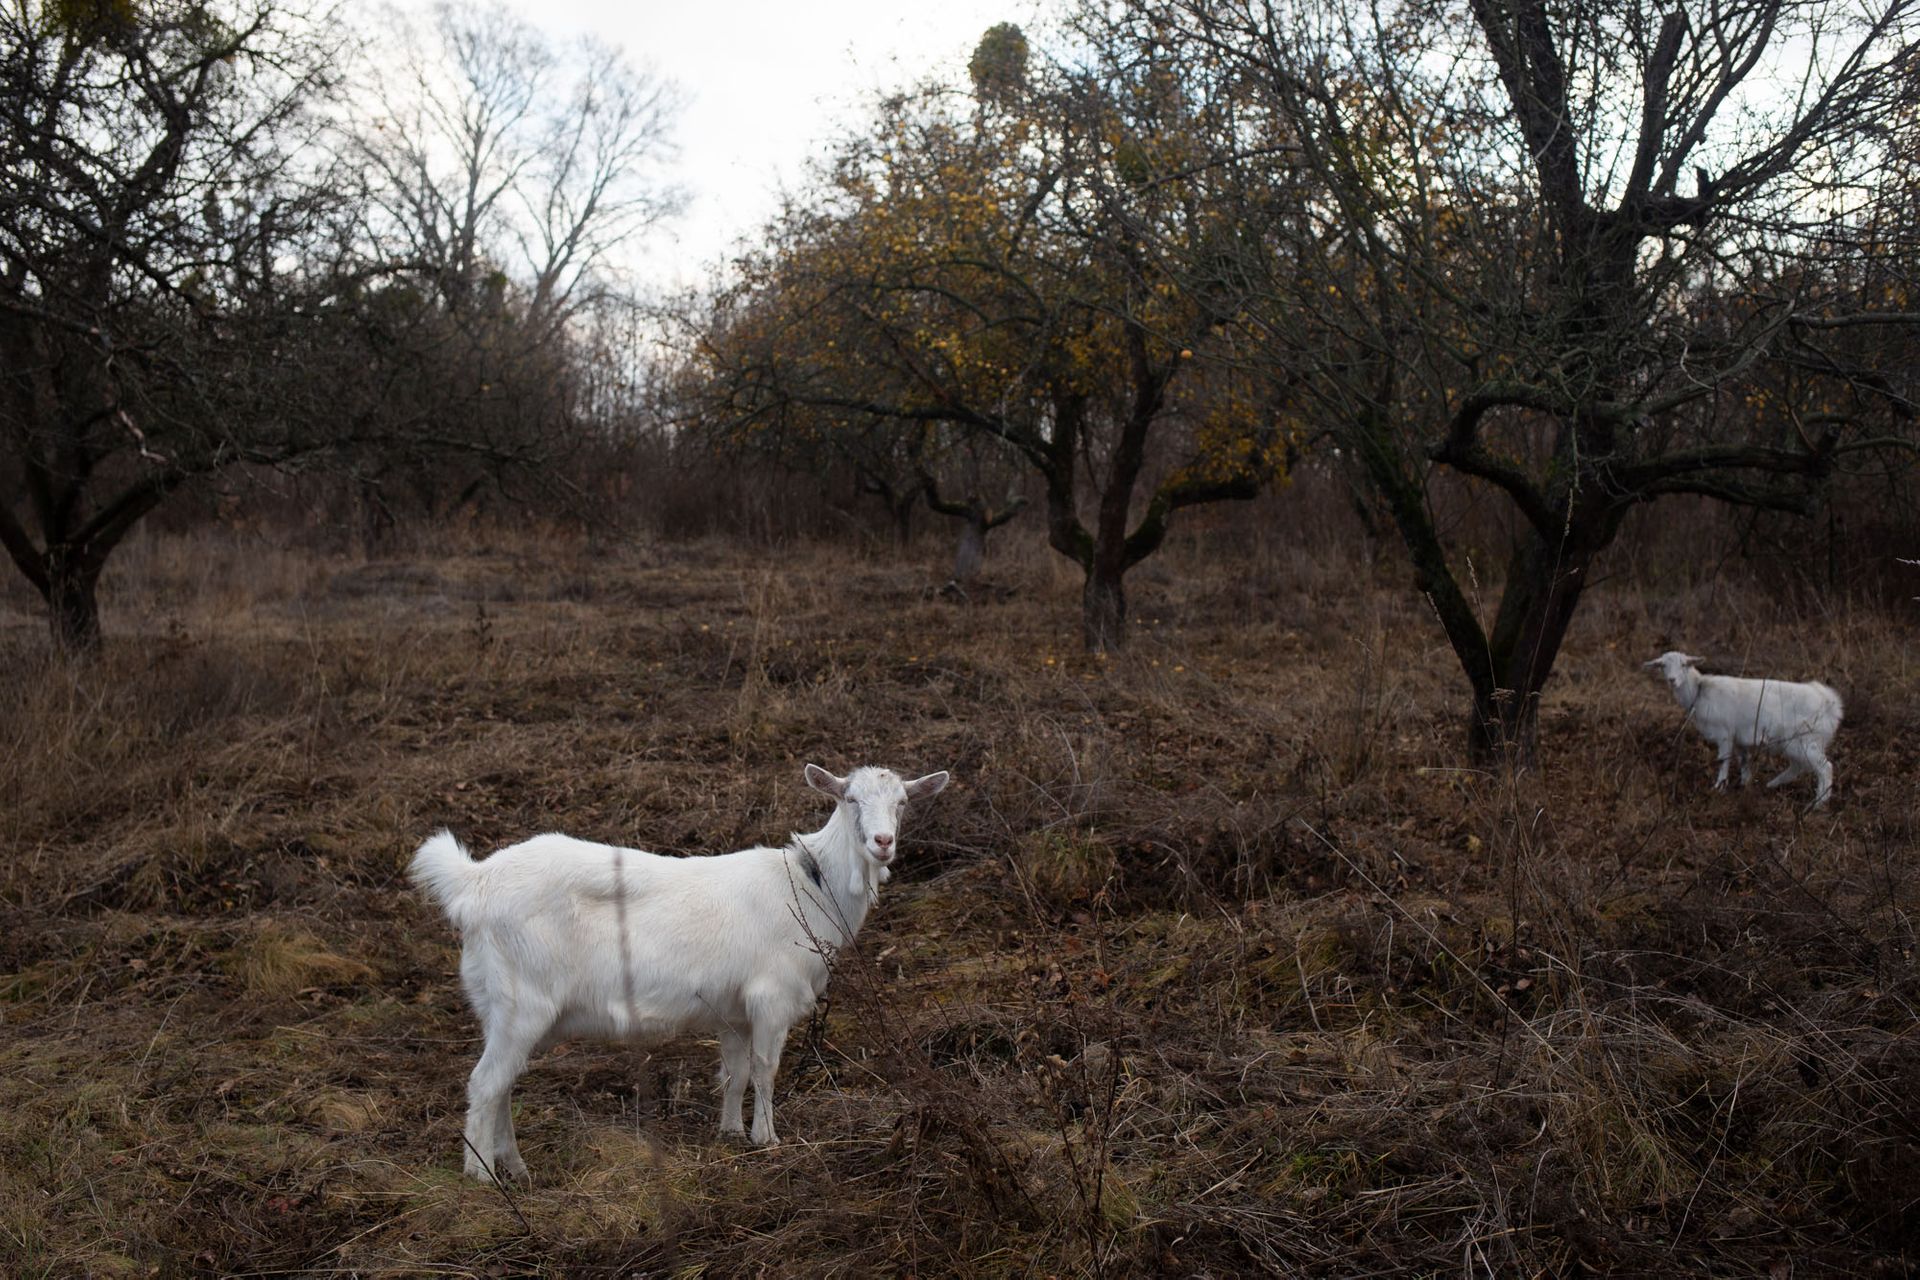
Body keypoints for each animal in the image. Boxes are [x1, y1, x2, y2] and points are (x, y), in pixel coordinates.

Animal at [408, 756, 948, 1189]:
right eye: (850, 798)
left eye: (903, 803)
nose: (883, 842)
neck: (810, 886)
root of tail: (474, 882)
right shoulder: (772, 996)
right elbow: (766, 1069)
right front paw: (767, 1139)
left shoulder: (734, 1009)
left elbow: (735, 1071)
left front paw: (730, 1133)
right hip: (524, 1000)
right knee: (485, 1084)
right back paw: (482, 1176)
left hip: (500, 1005)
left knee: (502, 1083)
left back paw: (517, 1169)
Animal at [1635, 656, 1843, 805]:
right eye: (1662, 665)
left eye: (1684, 664)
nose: (1672, 680)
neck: (1699, 690)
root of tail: (1829, 701)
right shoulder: (1740, 739)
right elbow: (1744, 761)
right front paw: (1744, 785)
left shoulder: (1724, 733)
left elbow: (1724, 760)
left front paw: (1719, 786)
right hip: (1795, 743)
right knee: (1798, 766)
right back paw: (1772, 785)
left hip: (1805, 740)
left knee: (1825, 768)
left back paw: (1817, 804)